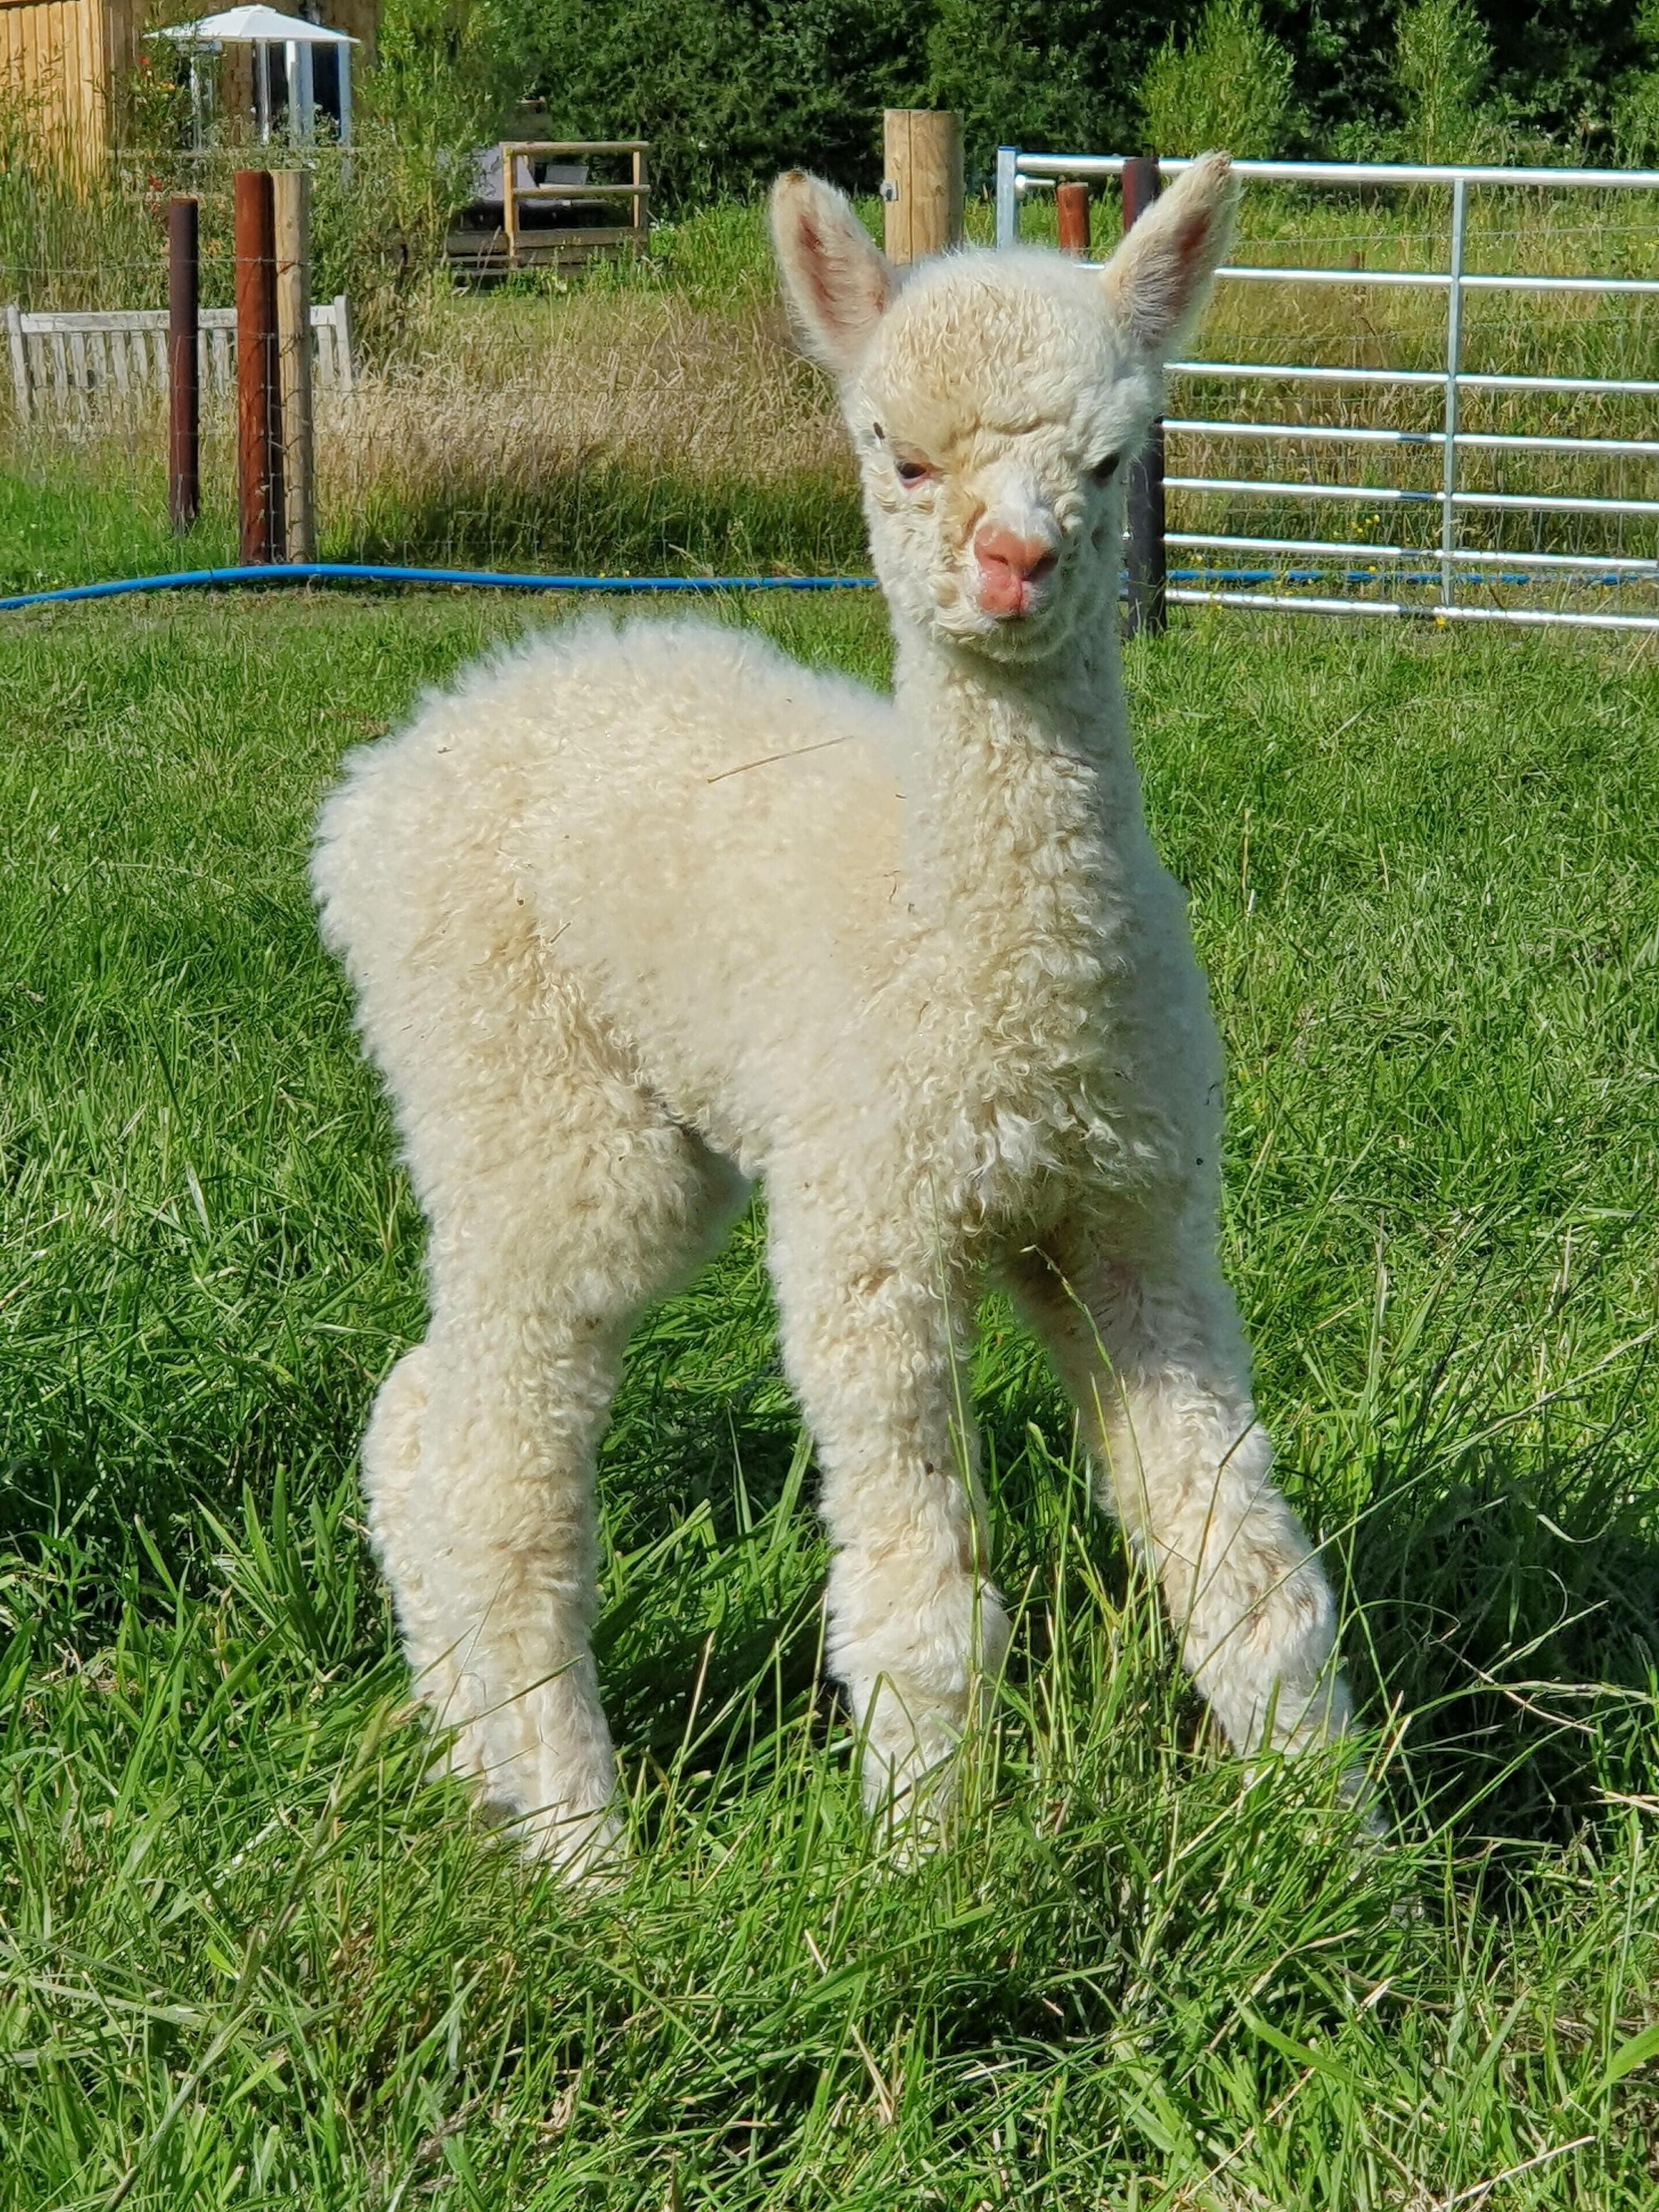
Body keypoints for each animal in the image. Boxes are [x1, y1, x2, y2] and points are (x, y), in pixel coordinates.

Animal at [311, 152, 1361, 1875]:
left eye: (1112, 453)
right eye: (898, 449)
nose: (1014, 563)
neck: (998, 999)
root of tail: (394, 763)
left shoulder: (1136, 1220)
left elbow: (1244, 1568)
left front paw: (1350, 1851)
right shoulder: (871, 1229)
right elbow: (921, 1607)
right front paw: (924, 1876)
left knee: (418, 1411)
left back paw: (477, 1766)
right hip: (525, 1086)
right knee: (499, 1465)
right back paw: (585, 1854)